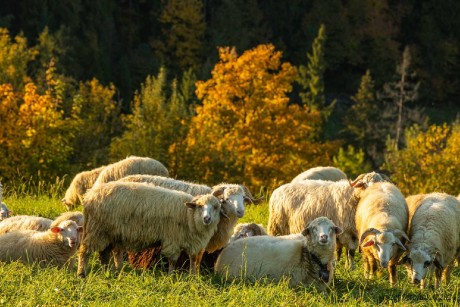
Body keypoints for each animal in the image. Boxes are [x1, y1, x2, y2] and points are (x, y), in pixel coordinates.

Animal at [77, 182, 223, 278]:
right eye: (200, 206)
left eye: (216, 207)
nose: (207, 218)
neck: (188, 215)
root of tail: (89, 196)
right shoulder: (172, 239)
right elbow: (173, 260)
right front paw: (171, 276)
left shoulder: (193, 242)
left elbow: (193, 259)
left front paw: (193, 276)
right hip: (96, 230)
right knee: (84, 251)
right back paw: (82, 273)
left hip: (108, 233)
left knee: (104, 254)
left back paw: (108, 272)